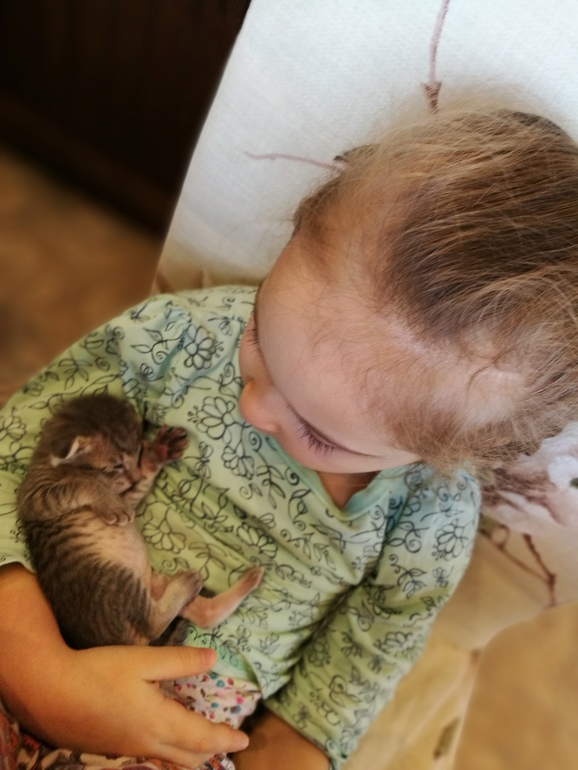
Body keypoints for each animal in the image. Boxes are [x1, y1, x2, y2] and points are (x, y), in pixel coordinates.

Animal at [17, 393, 263, 649]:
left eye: (137, 454)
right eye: (116, 465)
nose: (133, 477)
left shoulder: (127, 497)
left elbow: (135, 489)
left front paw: (157, 454)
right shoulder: (32, 497)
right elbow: (83, 485)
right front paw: (108, 501)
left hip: (149, 580)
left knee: (202, 614)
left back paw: (248, 579)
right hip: (115, 579)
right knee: (154, 623)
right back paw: (187, 584)